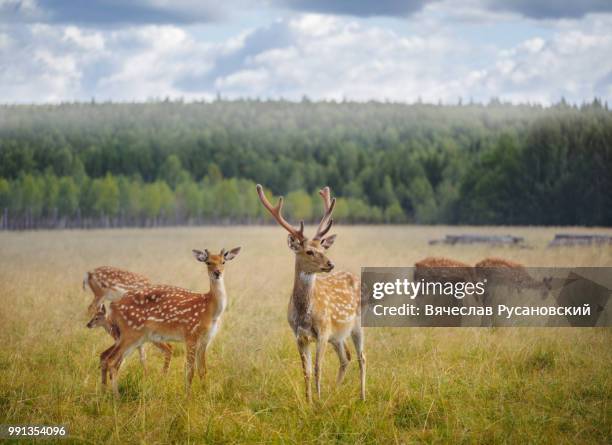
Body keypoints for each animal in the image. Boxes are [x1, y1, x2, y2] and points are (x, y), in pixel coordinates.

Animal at [100, 246, 239, 396]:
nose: (217, 272)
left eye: (223, 261)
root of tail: (113, 306)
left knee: (109, 358)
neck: (209, 310)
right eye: (208, 262)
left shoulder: (206, 339)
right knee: (112, 361)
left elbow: (203, 370)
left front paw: (205, 393)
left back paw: (106, 392)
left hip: (131, 336)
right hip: (130, 332)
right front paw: (188, 396)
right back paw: (116, 397)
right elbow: (190, 371)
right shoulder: (190, 334)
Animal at [256, 184, 366, 402]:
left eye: (323, 248)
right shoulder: (299, 335)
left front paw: (318, 401)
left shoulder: (323, 331)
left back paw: (362, 396)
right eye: (309, 251)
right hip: (337, 335)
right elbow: (305, 371)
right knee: (346, 357)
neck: (304, 314)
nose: (330, 264)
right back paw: (334, 392)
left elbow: (317, 368)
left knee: (361, 357)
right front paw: (309, 401)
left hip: (357, 324)